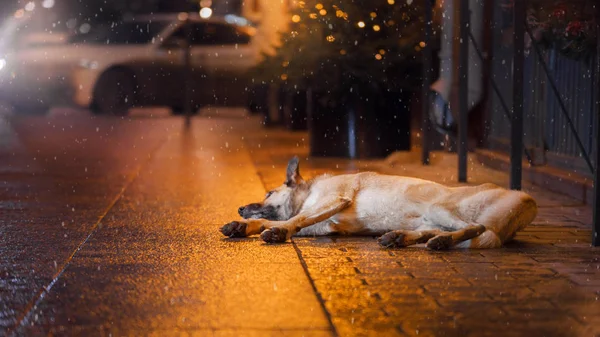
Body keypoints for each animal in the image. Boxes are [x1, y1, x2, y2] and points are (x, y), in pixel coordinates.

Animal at [221, 156, 540, 248]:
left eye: (268, 193)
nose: (239, 207)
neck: (308, 192)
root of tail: (526, 200)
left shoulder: (333, 201)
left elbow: (293, 219)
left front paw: (277, 231)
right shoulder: (325, 222)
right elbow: (287, 220)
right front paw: (243, 225)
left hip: (440, 209)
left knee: (475, 228)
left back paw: (438, 243)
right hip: (429, 219)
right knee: (433, 232)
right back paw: (401, 237)